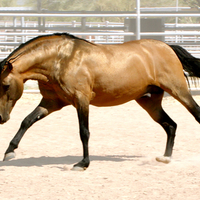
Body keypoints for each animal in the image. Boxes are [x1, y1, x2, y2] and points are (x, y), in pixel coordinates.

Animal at [0, 32, 200, 170]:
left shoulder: (81, 100)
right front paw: (9, 152)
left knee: (195, 114)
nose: (1, 118)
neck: (61, 59)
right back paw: (166, 158)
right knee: (171, 125)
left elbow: (84, 132)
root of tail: (167, 46)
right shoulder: (51, 102)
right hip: (149, 102)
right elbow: (27, 120)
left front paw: (83, 163)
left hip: (178, 91)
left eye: (5, 85)